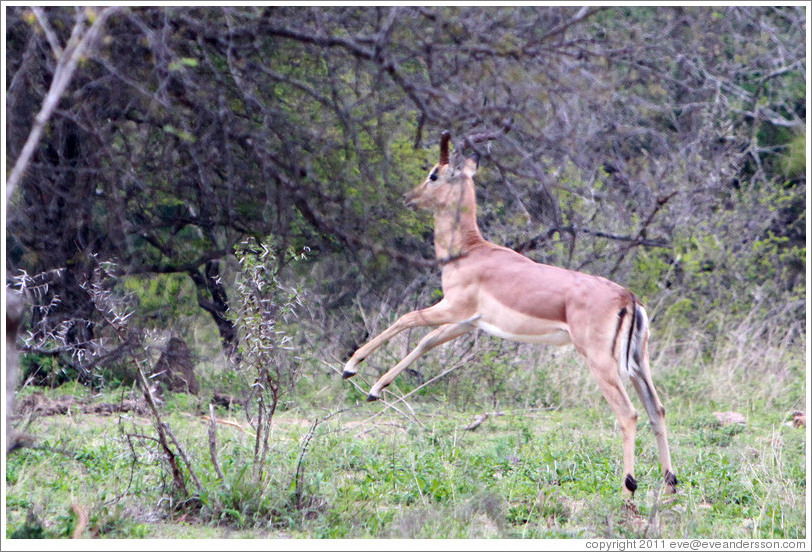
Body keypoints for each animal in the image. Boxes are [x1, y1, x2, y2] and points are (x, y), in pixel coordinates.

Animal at [343, 132, 677, 497]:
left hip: (601, 363)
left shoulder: (452, 307)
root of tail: (628, 297)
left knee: (628, 414)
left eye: (434, 174)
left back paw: (629, 487)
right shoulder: (467, 322)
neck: (468, 252)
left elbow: (407, 319)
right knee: (657, 410)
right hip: (638, 364)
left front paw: (351, 368)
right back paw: (670, 484)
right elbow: (426, 342)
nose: (409, 198)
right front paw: (376, 388)